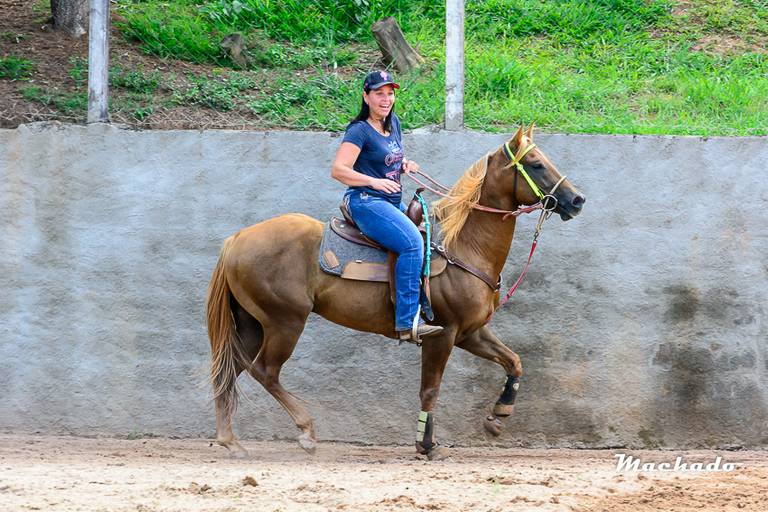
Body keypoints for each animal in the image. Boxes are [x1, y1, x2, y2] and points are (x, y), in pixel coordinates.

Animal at [205, 124, 585, 460]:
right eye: (536, 163)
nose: (577, 200)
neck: (463, 245)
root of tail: (236, 239)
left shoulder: (470, 333)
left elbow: (514, 361)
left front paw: (497, 417)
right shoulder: (442, 334)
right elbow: (430, 389)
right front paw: (426, 445)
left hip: (252, 324)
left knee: (229, 370)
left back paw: (230, 442)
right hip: (284, 322)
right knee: (265, 372)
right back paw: (306, 432)